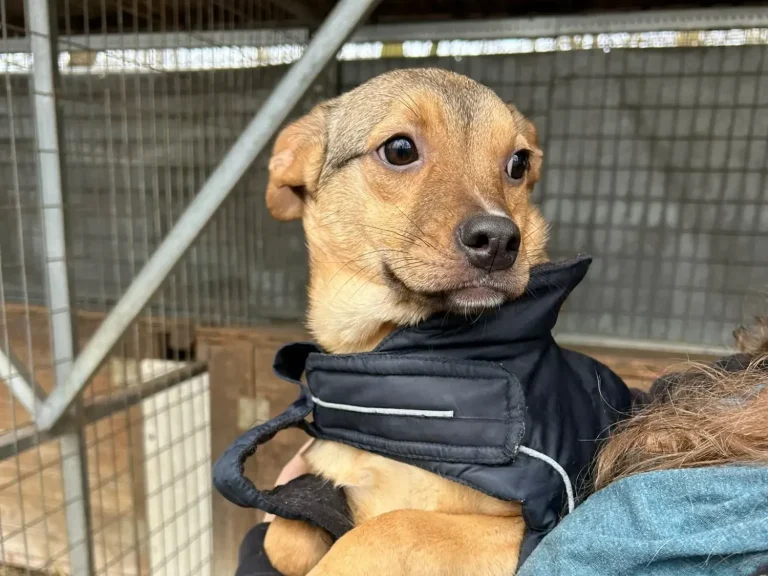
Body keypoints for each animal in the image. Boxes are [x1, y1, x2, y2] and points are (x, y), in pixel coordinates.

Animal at [260, 68, 548, 576]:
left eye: (518, 163)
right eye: (399, 150)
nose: (499, 240)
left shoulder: (522, 527)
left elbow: (392, 527)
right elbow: (284, 536)